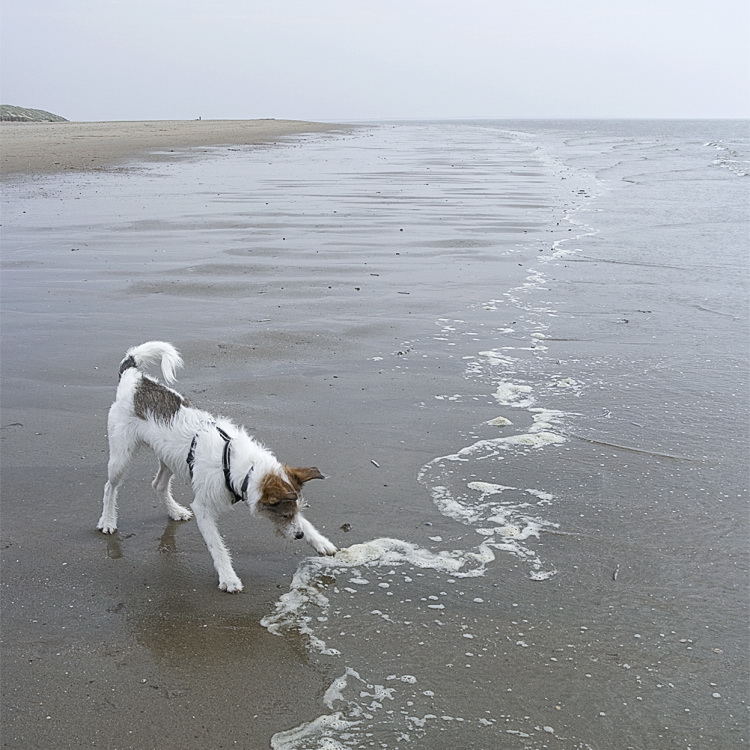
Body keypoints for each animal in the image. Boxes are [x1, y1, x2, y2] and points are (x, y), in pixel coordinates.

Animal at [99, 342, 338, 592]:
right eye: (284, 515)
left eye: (297, 512)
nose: (299, 535)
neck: (238, 466)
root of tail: (134, 378)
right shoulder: (203, 508)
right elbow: (217, 546)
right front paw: (228, 577)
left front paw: (320, 541)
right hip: (121, 455)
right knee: (109, 487)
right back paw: (108, 520)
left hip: (169, 458)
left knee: (158, 484)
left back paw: (174, 511)